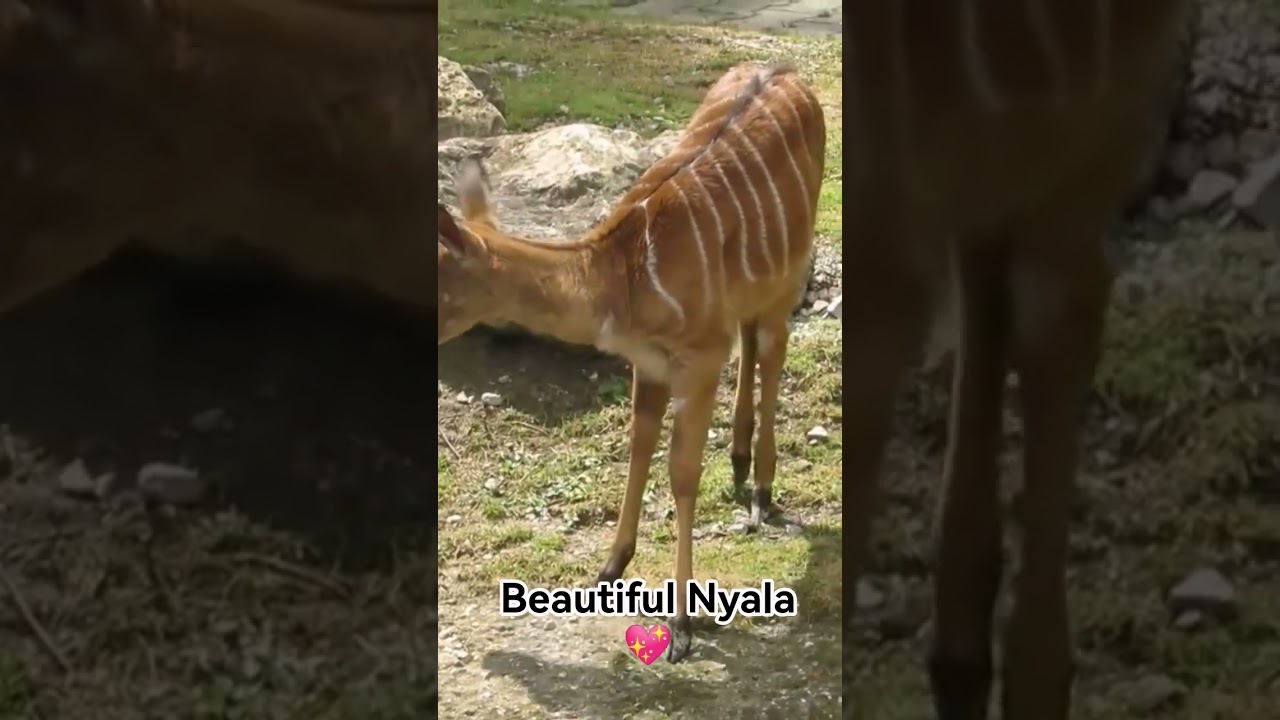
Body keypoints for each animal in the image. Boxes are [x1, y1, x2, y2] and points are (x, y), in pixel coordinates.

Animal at [437, 62, 826, 662]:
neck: (624, 280)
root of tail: (787, 71)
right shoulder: (649, 361)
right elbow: (639, 449)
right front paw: (610, 567)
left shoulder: (698, 359)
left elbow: (682, 473)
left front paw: (683, 628)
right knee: (753, 337)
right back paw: (739, 462)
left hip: (787, 274)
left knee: (773, 347)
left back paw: (761, 491)